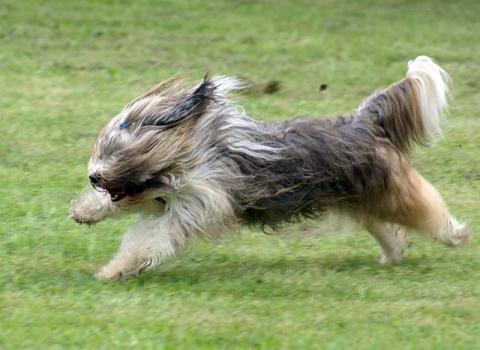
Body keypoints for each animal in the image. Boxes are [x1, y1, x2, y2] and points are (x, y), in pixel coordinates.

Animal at [70, 56, 468, 278]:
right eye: (102, 152)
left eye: (119, 154)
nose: (93, 175)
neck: (194, 156)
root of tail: (363, 121)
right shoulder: (164, 198)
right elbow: (124, 210)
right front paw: (86, 210)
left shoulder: (197, 204)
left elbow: (148, 240)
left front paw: (114, 270)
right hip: (359, 198)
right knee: (386, 227)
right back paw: (393, 253)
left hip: (389, 190)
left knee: (425, 209)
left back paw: (454, 234)